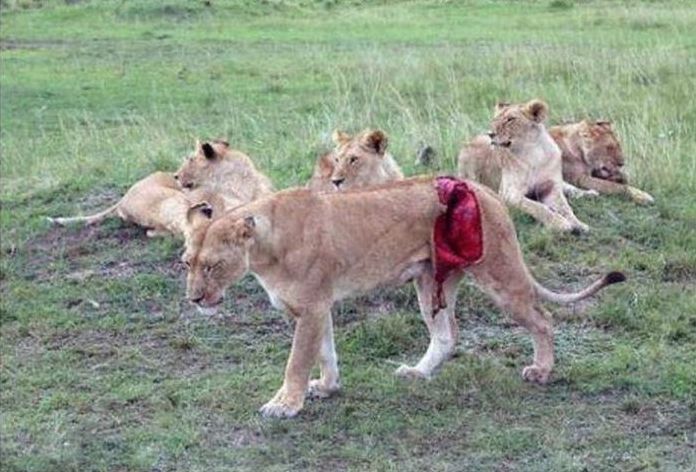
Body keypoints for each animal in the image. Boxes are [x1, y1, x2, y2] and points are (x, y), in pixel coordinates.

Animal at [182, 176, 624, 416]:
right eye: (186, 262)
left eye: (212, 267)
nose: (195, 300)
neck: (263, 248)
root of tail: (486, 190)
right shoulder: (316, 308)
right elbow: (325, 351)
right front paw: (327, 387)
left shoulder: (310, 308)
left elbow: (297, 361)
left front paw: (285, 404)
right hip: (430, 282)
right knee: (447, 335)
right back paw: (418, 373)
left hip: (499, 273)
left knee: (542, 319)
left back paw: (542, 371)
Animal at [456, 100, 592, 234]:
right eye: (495, 120)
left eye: (510, 119)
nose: (490, 134)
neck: (533, 153)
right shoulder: (508, 193)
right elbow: (538, 207)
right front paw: (561, 224)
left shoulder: (551, 189)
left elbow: (566, 208)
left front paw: (579, 224)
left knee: (568, 187)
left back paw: (588, 193)